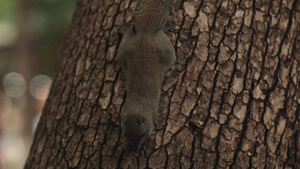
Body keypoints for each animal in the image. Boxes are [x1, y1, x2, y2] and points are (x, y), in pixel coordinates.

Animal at [116, 0, 175, 151]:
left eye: (143, 134)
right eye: (125, 133)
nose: (135, 149)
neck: (138, 107)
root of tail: (145, 34)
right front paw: (125, 144)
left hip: (165, 49)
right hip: (125, 50)